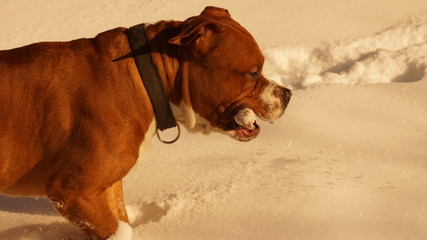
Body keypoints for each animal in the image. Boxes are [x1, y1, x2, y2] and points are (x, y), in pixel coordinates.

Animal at [0, 6, 290, 239]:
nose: (287, 94)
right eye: (253, 72)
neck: (147, 78)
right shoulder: (72, 192)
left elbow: (122, 218)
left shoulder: (108, 187)